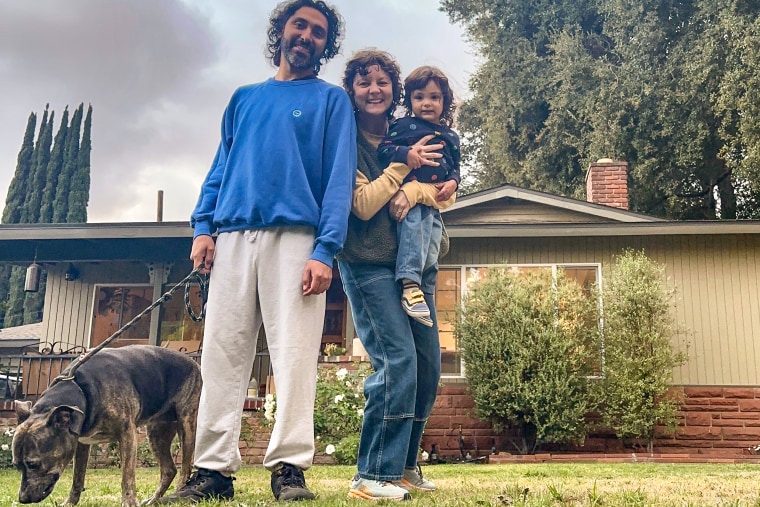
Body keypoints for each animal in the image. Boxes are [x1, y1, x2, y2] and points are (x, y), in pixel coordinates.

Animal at [12, 346, 202, 507]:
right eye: (17, 465)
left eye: (33, 464)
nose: (22, 499)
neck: (81, 390)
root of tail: (194, 363)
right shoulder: (82, 443)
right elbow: (77, 477)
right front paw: (70, 503)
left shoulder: (127, 435)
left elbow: (127, 477)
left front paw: (129, 502)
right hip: (157, 433)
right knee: (169, 469)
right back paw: (154, 501)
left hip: (187, 425)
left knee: (185, 468)